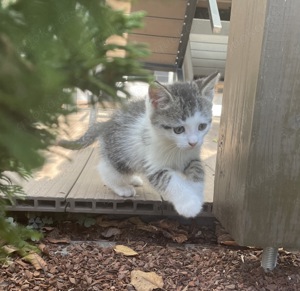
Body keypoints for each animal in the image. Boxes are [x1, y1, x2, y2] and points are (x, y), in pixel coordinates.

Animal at [58, 72, 219, 219]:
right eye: (178, 129)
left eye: (202, 126)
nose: (193, 142)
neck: (175, 148)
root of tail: (106, 123)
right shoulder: (152, 164)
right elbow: (170, 180)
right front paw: (189, 204)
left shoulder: (192, 157)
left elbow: (198, 171)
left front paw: (195, 192)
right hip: (120, 153)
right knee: (107, 169)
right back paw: (122, 187)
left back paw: (133, 179)